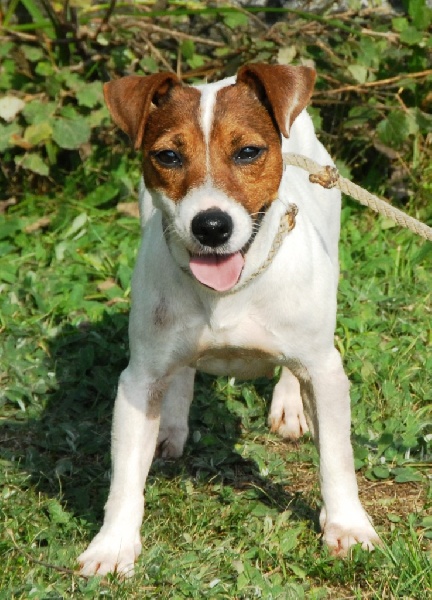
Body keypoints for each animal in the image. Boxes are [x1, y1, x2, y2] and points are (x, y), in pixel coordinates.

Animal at [79, 62, 380, 576]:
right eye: (168, 156)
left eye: (248, 152)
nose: (211, 226)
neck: (228, 293)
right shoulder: (139, 380)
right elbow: (124, 478)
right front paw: (113, 547)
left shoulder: (325, 371)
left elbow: (336, 458)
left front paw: (346, 526)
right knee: (179, 372)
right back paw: (171, 424)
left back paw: (289, 405)